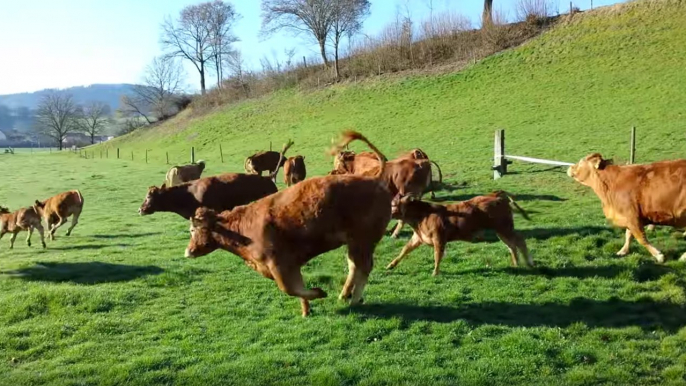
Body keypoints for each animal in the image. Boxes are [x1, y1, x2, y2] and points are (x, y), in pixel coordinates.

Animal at [184, 131, 392, 318]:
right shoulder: (288, 266)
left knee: (363, 268)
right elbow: (298, 289)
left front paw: (319, 293)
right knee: (354, 266)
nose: (188, 252)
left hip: (363, 240)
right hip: (354, 243)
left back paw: (354, 299)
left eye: (193, 230)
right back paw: (345, 294)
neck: (243, 230)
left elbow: (289, 289)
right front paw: (306, 310)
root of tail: (373, 178)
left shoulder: (280, 265)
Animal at [390, 190, 536, 274]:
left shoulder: (439, 240)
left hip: (504, 228)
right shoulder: (418, 238)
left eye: (393, 204)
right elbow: (404, 250)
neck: (423, 215)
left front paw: (435, 272)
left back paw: (529, 263)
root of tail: (494, 196)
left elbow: (437, 256)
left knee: (520, 240)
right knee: (511, 245)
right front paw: (391, 265)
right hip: (501, 231)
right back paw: (516, 264)